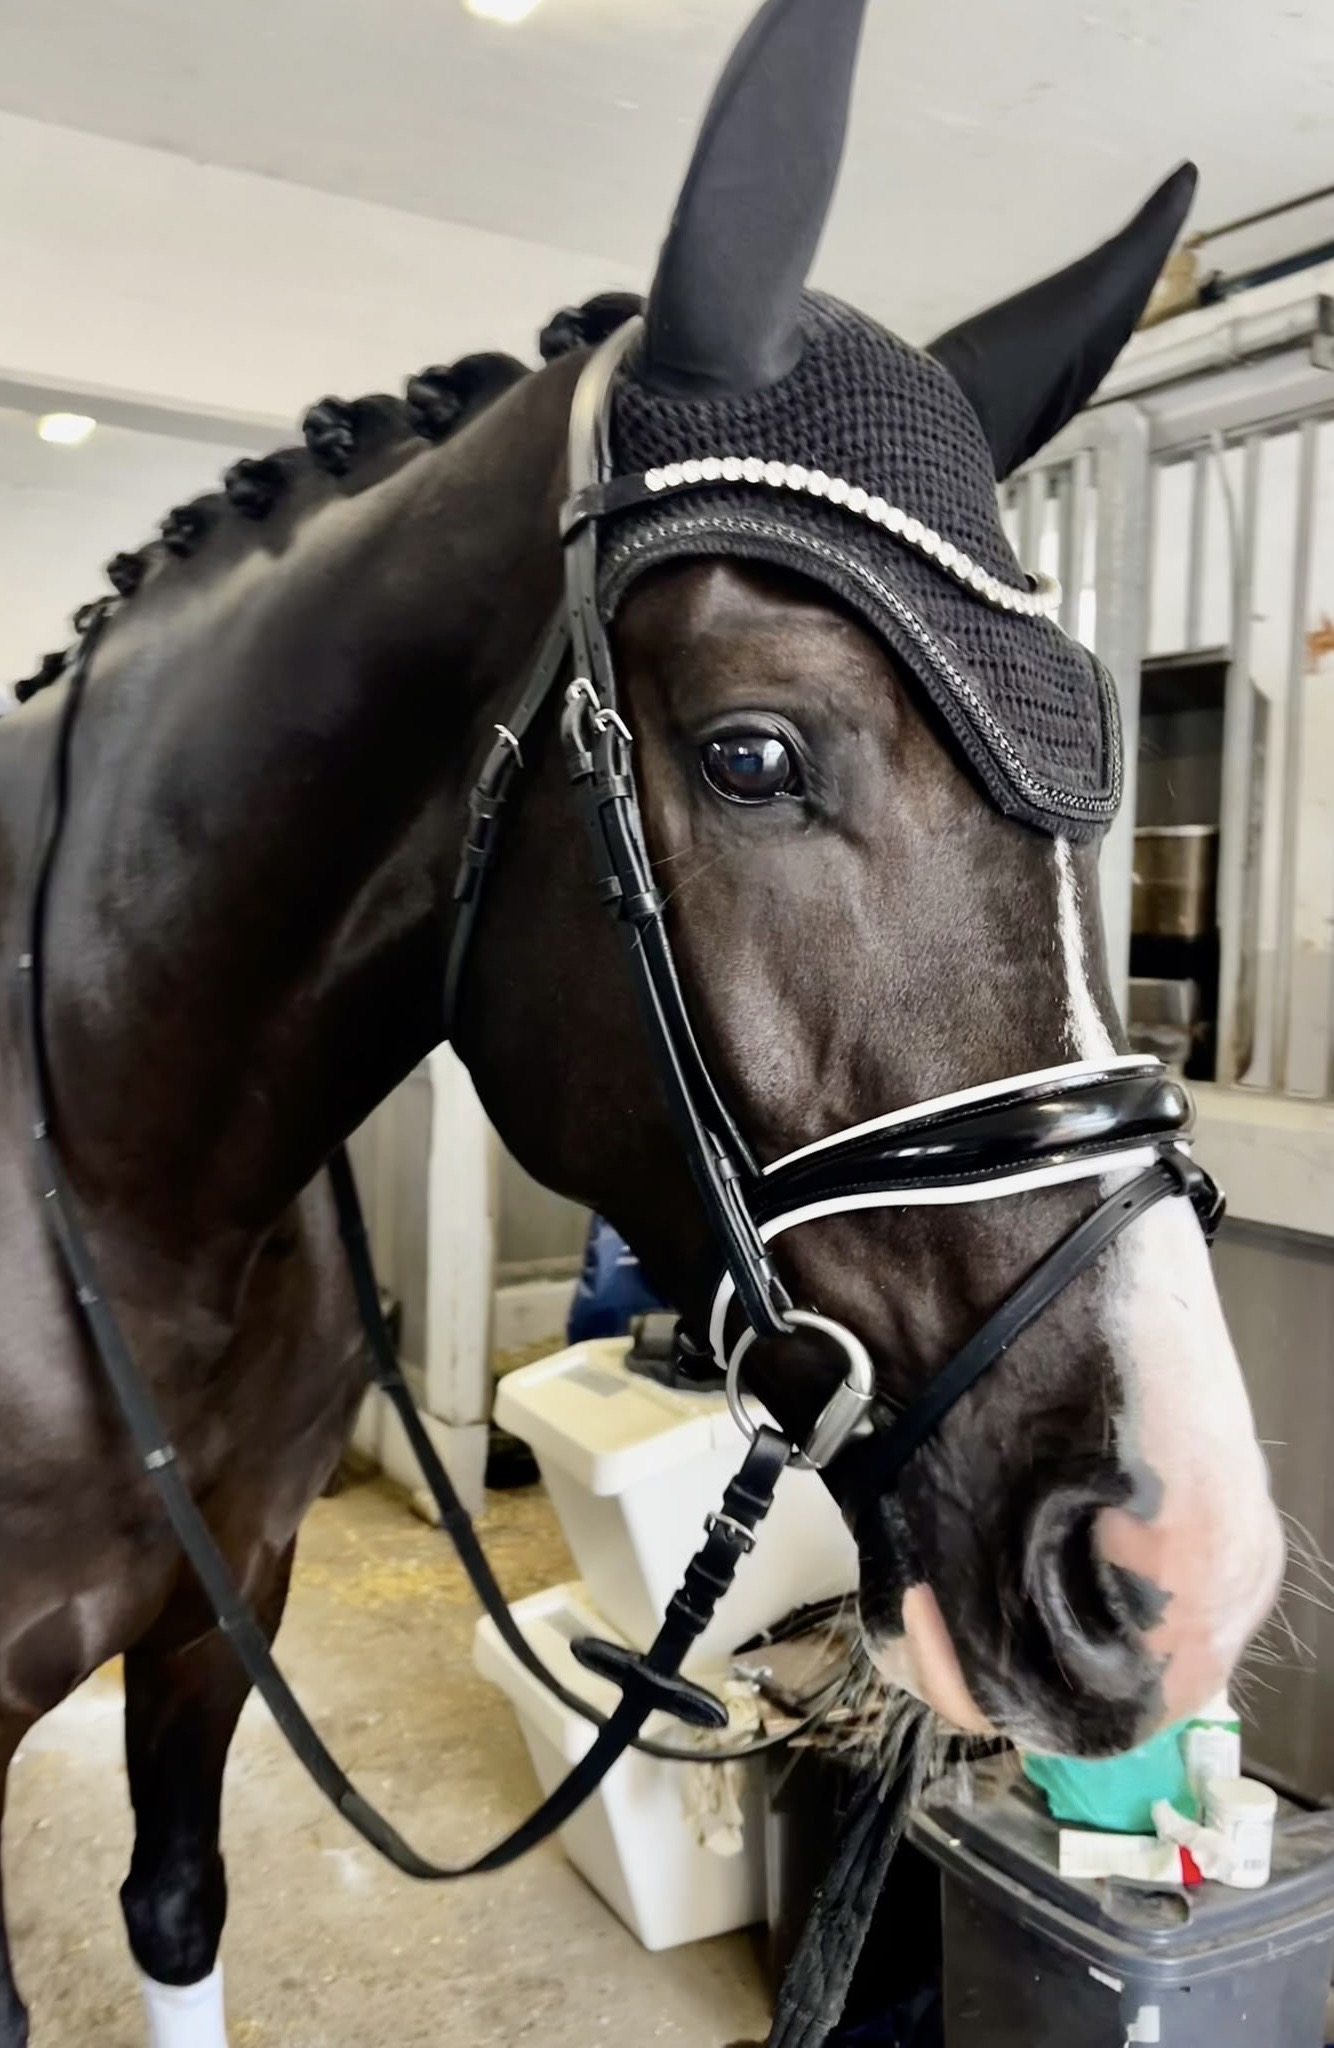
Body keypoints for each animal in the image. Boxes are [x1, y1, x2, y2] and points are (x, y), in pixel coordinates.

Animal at [0, 0, 1283, 2040]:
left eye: (1093, 755)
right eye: (753, 752)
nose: (1183, 1555)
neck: (124, 1179)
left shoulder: (223, 1611)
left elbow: (178, 1908)